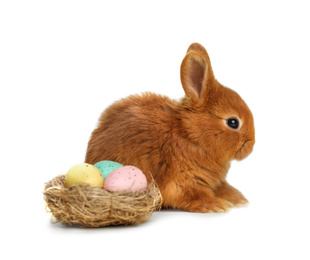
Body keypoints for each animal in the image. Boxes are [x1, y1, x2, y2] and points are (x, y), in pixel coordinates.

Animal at [85, 42, 254, 212]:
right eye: (233, 122)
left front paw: (239, 200)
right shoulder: (182, 181)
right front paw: (217, 205)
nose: (251, 145)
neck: (190, 135)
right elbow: (195, 196)